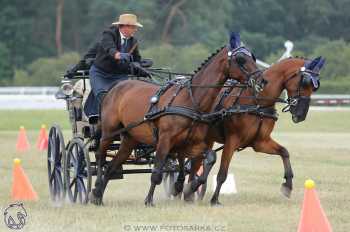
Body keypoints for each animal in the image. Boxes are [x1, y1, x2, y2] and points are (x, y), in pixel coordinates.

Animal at [89, 32, 262, 205]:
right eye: (240, 59)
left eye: (253, 57)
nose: (261, 81)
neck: (191, 99)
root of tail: (115, 87)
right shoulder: (165, 140)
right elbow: (157, 172)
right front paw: (149, 200)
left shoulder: (191, 143)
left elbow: (209, 158)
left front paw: (189, 187)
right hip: (109, 133)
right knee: (100, 157)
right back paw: (95, 188)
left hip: (130, 139)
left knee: (111, 167)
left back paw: (98, 196)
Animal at [189, 56, 326, 205]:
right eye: (305, 82)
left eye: (315, 86)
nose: (301, 115)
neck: (257, 102)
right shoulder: (232, 141)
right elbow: (222, 173)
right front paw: (214, 200)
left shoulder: (260, 142)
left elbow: (284, 152)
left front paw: (288, 185)